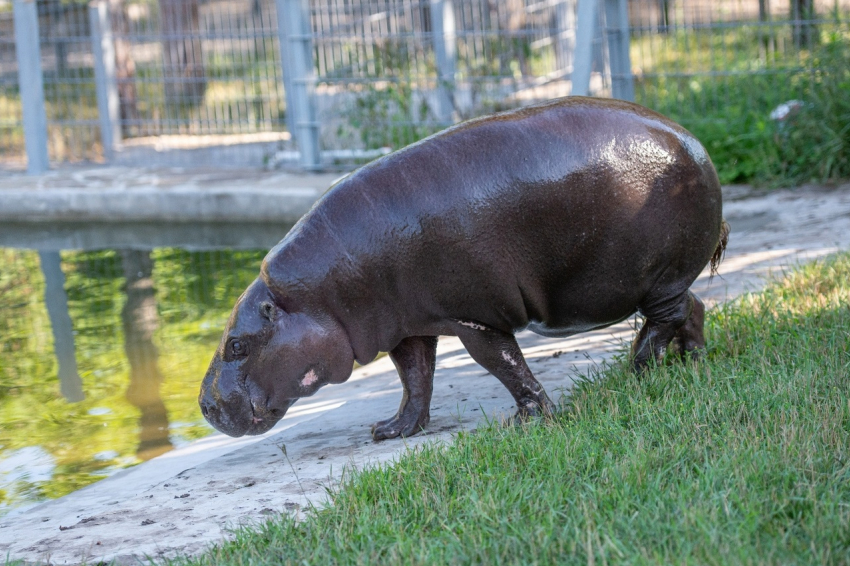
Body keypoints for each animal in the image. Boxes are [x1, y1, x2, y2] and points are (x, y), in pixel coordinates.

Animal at [200, 95, 728, 442]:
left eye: (237, 344)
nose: (204, 404)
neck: (318, 296)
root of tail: (695, 143)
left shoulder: (474, 317)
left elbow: (503, 363)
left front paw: (525, 422)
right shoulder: (408, 327)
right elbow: (415, 379)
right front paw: (390, 431)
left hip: (658, 277)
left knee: (665, 319)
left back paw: (638, 369)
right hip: (660, 279)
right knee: (691, 306)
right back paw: (690, 360)